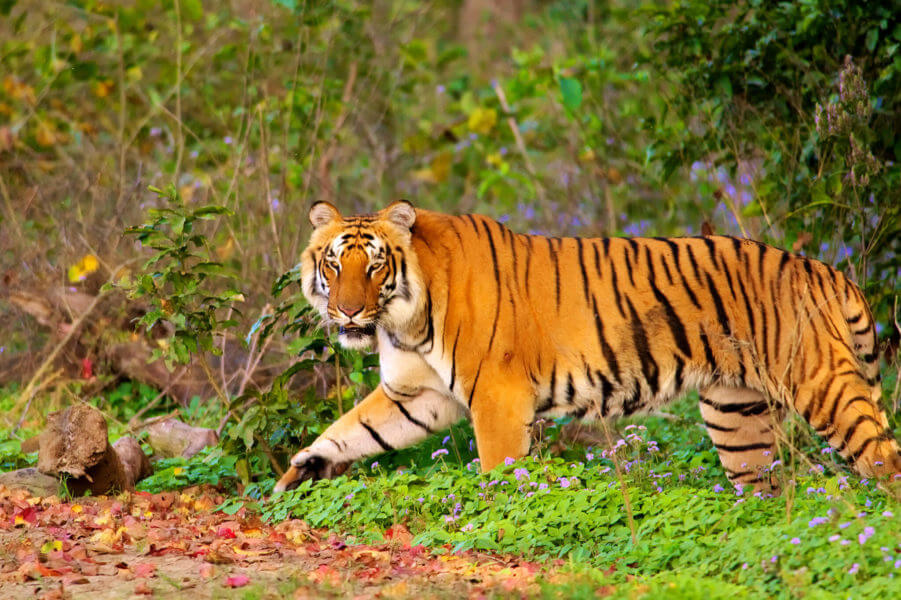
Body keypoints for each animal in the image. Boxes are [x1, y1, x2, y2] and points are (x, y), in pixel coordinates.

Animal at [270, 202, 896, 492]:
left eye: (374, 266)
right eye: (334, 264)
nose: (349, 311)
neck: (407, 320)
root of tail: (825, 270)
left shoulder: (496, 396)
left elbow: (499, 469)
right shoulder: (416, 394)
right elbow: (352, 430)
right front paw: (299, 472)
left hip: (823, 385)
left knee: (883, 458)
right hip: (736, 416)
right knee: (761, 483)